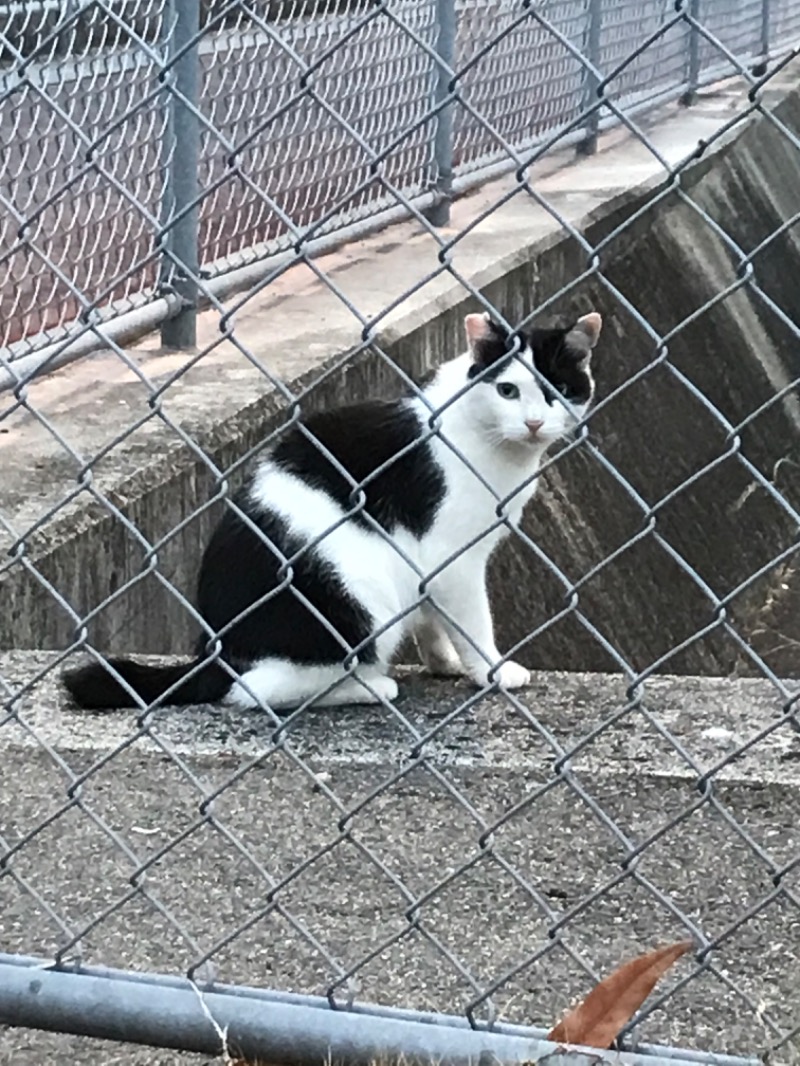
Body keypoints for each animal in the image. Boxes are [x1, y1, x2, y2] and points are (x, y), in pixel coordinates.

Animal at [64, 309, 601, 716]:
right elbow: (473, 622)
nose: (534, 423)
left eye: (556, 391)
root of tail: (214, 651)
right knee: (255, 691)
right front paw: (491, 670)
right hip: (362, 594)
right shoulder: (454, 558)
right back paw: (370, 686)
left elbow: (432, 617)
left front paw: (444, 661)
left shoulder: (427, 565)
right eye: (507, 390)